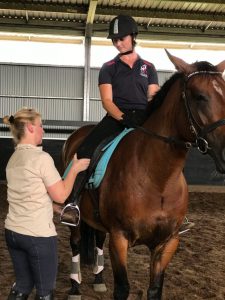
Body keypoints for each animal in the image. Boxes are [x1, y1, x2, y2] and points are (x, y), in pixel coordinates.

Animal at [59, 50, 225, 298]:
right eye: (199, 97)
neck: (159, 180)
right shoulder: (119, 238)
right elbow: (122, 288)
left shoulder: (168, 242)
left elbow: (155, 289)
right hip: (77, 220)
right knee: (76, 243)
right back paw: (75, 287)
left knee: (97, 238)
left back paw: (98, 279)